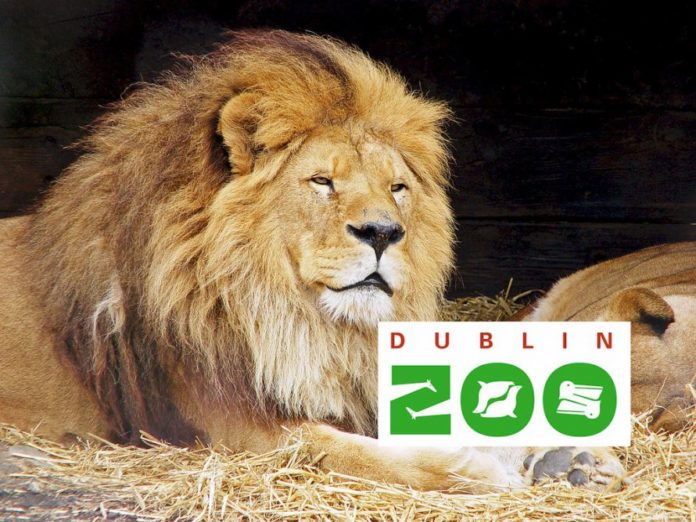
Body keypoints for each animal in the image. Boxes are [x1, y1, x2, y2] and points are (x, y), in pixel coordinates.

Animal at [0, 30, 624, 491]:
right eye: (322, 181)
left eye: (397, 187)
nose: (382, 232)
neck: (311, 325)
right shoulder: (237, 428)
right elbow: (361, 453)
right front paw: (474, 469)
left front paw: (570, 455)